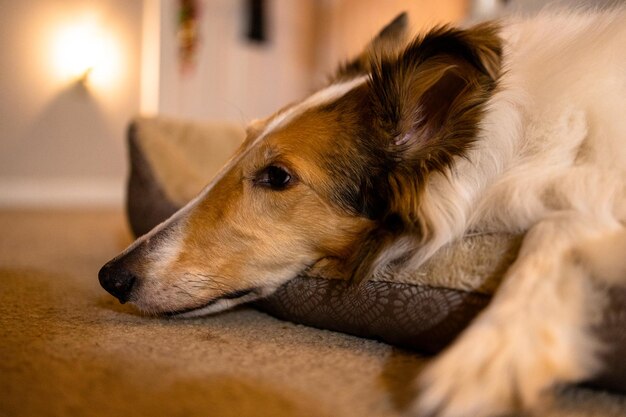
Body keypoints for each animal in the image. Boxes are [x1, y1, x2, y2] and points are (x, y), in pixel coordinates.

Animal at [100, 9, 620, 416]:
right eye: (239, 146)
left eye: (278, 177)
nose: (111, 277)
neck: (506, 152)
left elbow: (555, 227)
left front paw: (490, 357)